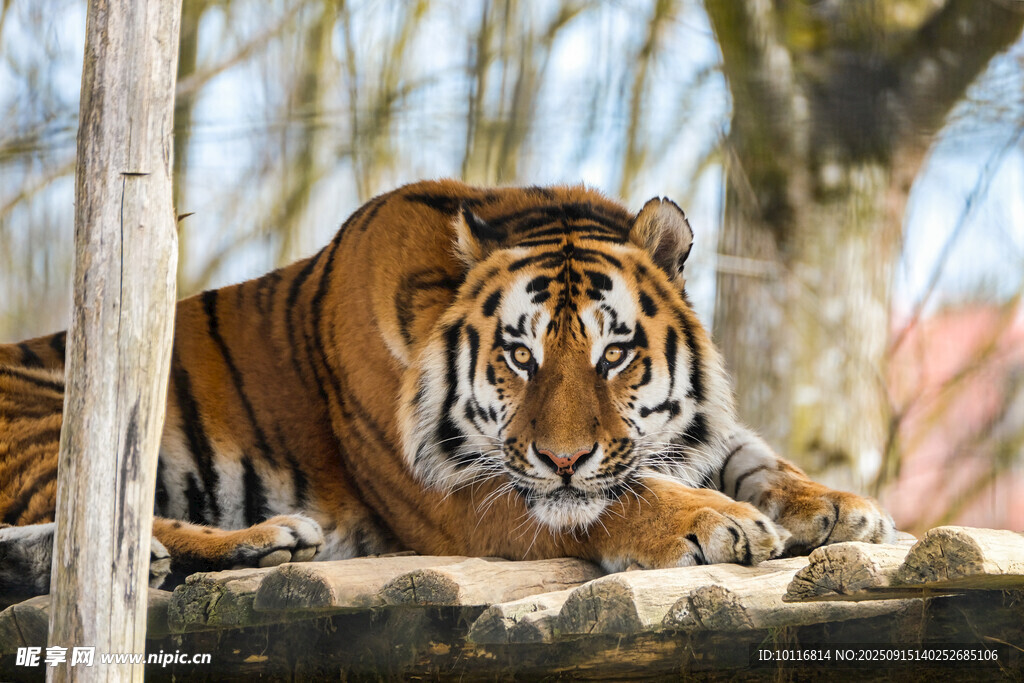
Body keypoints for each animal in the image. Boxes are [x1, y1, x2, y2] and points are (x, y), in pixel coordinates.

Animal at [0, 179, 894, 596]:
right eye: (519, 356)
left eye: (614, 354)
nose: (563, 456)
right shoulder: (462, 496)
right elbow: (614, 497)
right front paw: (716, 521)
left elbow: (750, 455)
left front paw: (837, 505)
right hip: (59, 412)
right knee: (99, 526)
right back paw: (268, 537)